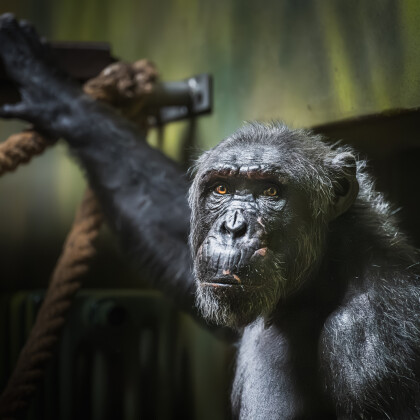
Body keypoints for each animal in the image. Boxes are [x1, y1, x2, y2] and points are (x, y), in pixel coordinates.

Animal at [0, 13, 420, 420]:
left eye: (270, 192)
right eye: (221, 190)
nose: (233, 227)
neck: (316, 285)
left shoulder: (373, 351)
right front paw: (44, 82)